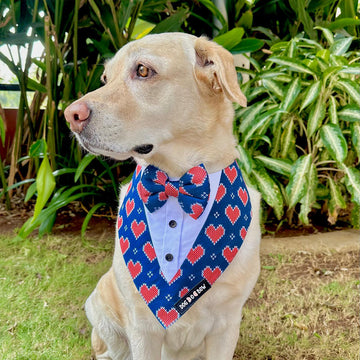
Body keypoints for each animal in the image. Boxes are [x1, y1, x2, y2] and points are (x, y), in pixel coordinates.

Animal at [64, 32, 260, 358]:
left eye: (143, 70)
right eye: (105, 78)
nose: (70, 115)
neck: (175, 184)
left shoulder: (227, 325)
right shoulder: (143, 328)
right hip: (101, 309)